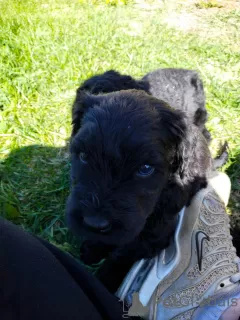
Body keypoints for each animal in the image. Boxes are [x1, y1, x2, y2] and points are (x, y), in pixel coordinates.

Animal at [66, 88, 214, 292]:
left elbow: (121, 255)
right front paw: (92, 248)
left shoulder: (156, 233)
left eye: (145, 168)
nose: (94, 223)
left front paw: (103, 281)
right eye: (83, 156)